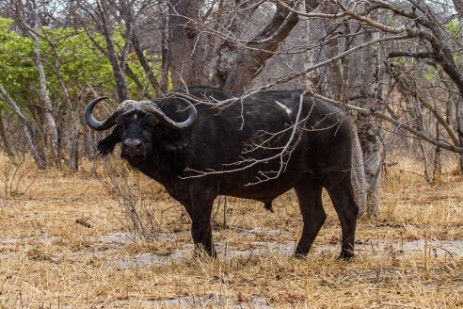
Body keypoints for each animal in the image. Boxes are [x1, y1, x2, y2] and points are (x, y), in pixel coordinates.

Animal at [86, 86, 362, 258]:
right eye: (122, 125)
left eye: (151, 124)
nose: (132, 146)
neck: (183, 140)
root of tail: (341, 116)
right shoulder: (187, 196)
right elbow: (202, 228)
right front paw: (206, 256)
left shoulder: (203, 189)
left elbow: (198, 228)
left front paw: (205, 259)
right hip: (305, 181)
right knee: (314, 216)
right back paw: (298, 255)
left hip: (335, 175)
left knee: (347, 209)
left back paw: (345, 255)